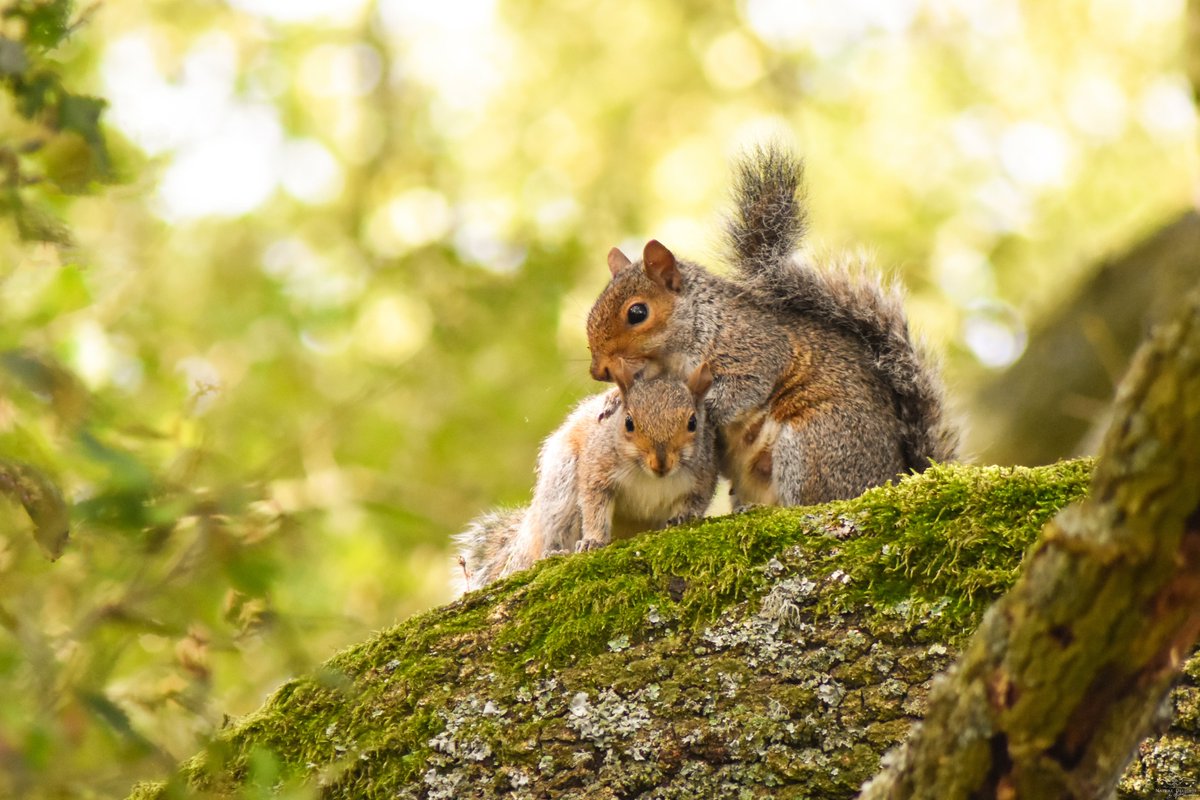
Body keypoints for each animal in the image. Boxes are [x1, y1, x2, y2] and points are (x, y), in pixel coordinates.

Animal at [454, 362, 718, 593]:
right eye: (629, 422)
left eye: (693, 422)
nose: (661, 464)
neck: (650, 476)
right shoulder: (597, 472)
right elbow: (594, 508)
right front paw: (593, 541)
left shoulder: (702, 479)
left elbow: (695, 501)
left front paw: (684, 517)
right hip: (561, 485)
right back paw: (553, 552)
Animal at [586, 144, 958, 508]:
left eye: (637, 313)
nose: (598, 370)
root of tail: (892, 477)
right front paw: (613, 401)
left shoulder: (753, 346)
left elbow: (743, 387)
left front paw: (700, 407)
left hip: (811, 443)